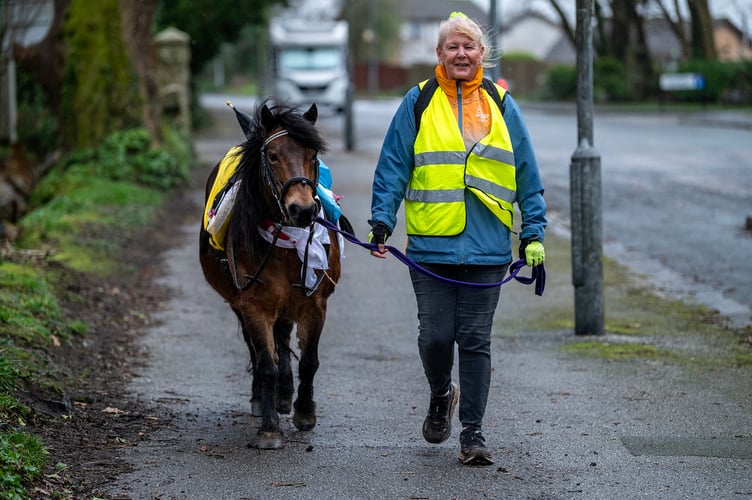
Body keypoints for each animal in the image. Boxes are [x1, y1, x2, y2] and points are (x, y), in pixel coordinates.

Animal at [200, 98, 340, 450]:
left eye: (313, 156)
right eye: (273, 156)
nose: (302, 210)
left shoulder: (315, 302)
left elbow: (309, 360)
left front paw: (304, 412)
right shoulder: (252, 304)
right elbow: (265, 362)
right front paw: (269, 428)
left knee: (284, 335)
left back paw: (285, 394)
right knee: (259, 347)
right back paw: (264, 398)